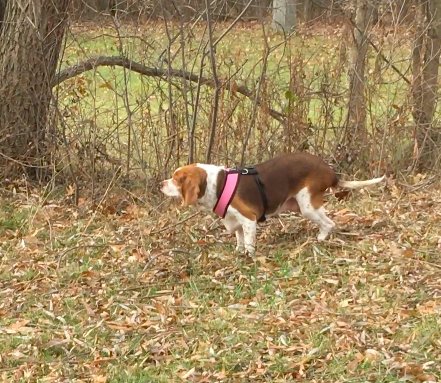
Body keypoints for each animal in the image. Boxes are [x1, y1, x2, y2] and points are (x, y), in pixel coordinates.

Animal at [160, 152, 384, 255]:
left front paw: (248, 257)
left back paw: (320, 239)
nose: (161, 184)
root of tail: (330, 172)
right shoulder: (236, 222)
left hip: (307, 206)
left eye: (176, 179)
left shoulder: (249, 220)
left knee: (329, 223)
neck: (218, 184)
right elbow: (240, 240)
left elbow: (249, 244)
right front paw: (238, 253)